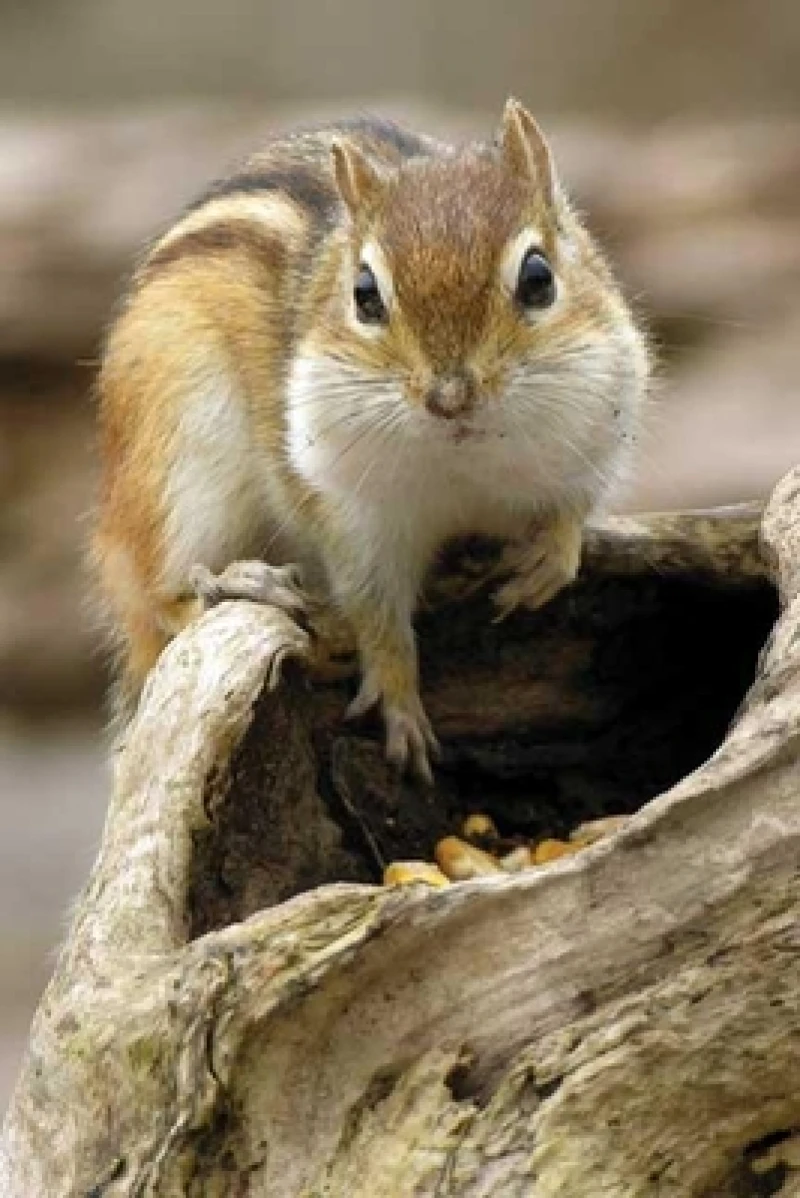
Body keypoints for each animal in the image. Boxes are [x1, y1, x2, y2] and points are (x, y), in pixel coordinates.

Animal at [92, 99, 648, 783]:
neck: (463, 465)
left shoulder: (594, 440)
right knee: (154, 598)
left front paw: (548, 559)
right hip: (179, 461)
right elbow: (375, 612)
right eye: (364, 296)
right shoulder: (351, 515)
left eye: (539, 278)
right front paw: (400, 707)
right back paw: (246, 587)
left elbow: (570, 517)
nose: (449, 397)